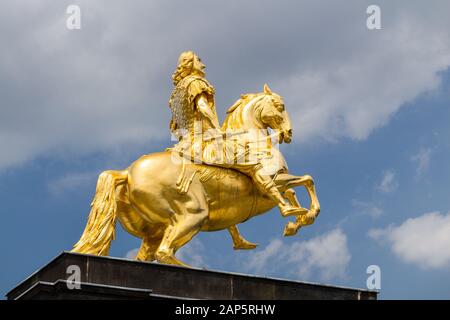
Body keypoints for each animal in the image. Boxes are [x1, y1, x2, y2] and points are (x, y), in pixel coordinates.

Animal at [73, 86, 320, 266]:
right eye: (280, 106)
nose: (289, 133)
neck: (252, 140)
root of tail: (126, 173)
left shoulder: (277, 184)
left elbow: (293, 191)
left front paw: (296, 222)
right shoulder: (272, 180)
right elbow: (305, 180)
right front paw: (298, 215)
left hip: (155, 231)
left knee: (148, 256)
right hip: (193, 214)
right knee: (164, 252)